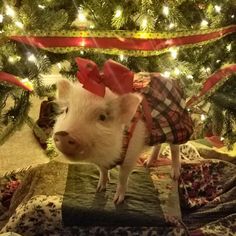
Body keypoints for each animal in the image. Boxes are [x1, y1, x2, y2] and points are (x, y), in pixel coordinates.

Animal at [52, 58, 193, 204]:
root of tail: (170, 78)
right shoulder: (100, 162)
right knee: (158, 144)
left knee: (175, 149)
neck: (105, 155)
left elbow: (122, 177)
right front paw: (99, 188)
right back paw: (148, 163)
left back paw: (174, 174)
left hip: (176, 125)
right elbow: (102, 171)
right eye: (67, 110)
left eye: (102, 117)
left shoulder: (130, 156)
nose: (62, 134)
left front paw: (117, 201)